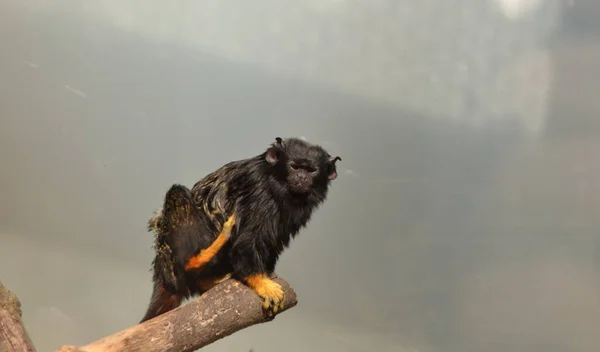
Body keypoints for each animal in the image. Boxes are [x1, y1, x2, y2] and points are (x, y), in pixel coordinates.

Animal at [138, 136, 340, 324]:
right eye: (294, 167)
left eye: (311, 170)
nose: (302, 178)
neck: (276, 182)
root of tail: (162, 271)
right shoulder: (258, 189)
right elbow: (247, 240)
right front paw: (261, 281)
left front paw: (268, 271)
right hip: (172, 254)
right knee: (178, 193)